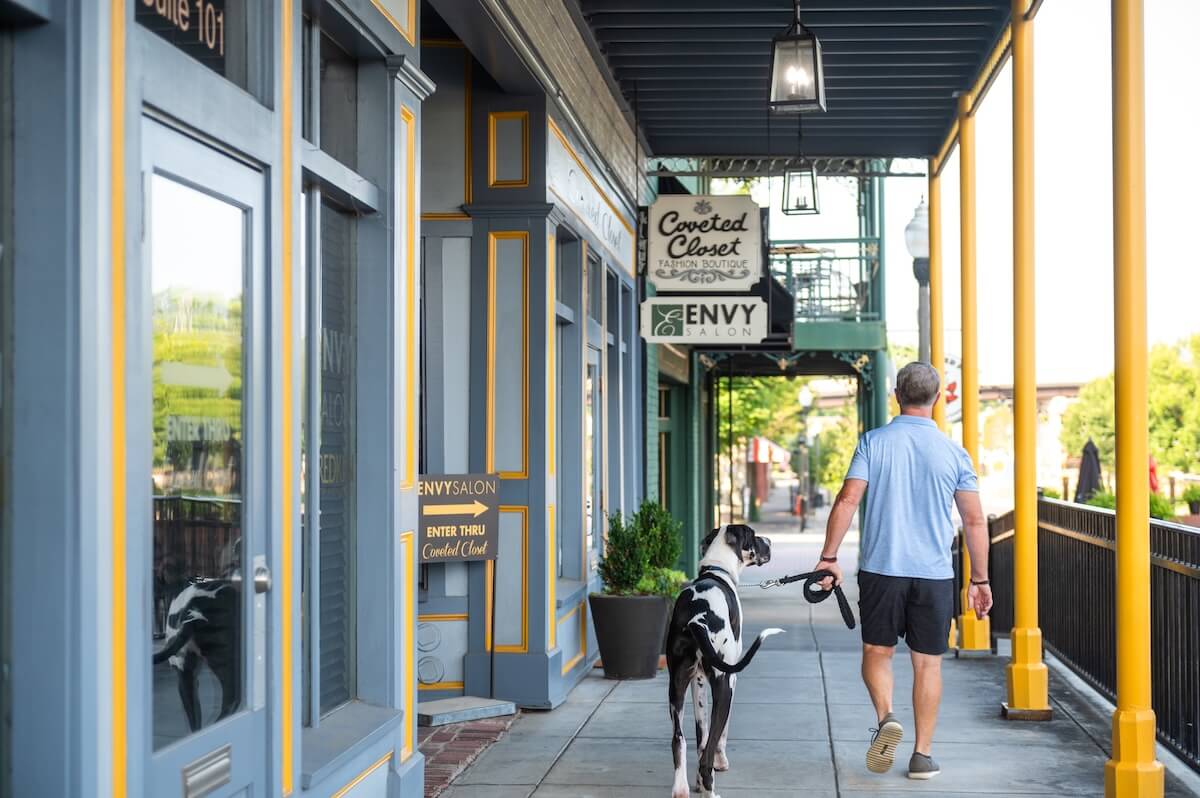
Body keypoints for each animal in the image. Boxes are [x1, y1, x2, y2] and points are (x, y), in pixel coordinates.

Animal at [662, 523, 782, 796]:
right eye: (754, 536)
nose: (770, 541)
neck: (717, 569)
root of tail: (696, 619)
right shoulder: (731, 679)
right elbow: (717, 736)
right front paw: (720, 762)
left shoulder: (697, 682)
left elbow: (701, 735)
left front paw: (696, 781)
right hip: (723, 685)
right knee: (707, 751)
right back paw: (710, 788)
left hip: (676, 688)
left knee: (678, 739)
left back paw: (682, 788)